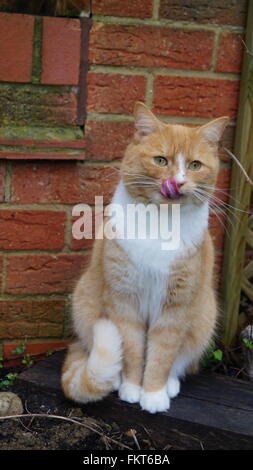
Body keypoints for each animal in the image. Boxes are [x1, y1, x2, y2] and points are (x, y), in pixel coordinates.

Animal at [60, 102, 227, 412]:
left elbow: (162, 355)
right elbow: (133, 349)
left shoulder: (176, 307)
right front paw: (132, 388)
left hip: (204, 316)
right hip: (84, 303)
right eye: (161, 160)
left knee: (180, 361)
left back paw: (170, 384)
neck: (161, 222)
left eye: (195, 166)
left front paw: (154, 394)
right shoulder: (124, 301)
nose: (178, 182)